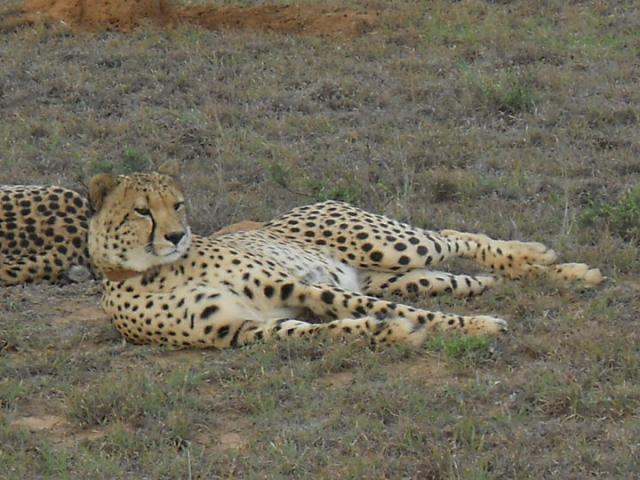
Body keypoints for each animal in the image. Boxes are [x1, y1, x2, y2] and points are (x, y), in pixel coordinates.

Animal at [86, 167, 603, 349]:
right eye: (141, 210)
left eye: (178, 204)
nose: (178, 235)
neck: (159, 269)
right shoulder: (241, 329)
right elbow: (322, 329)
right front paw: (389, 332)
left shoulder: (300, 286)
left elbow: (408, 313)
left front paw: (477, 327)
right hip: (399, 273)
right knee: (460, 277)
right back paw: (528, 273)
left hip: (392, 245)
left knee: (453, 236)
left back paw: (558, 264)